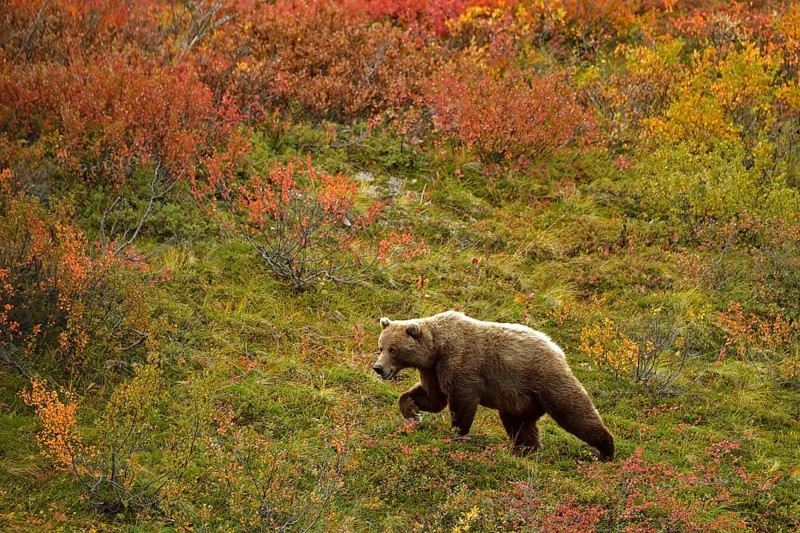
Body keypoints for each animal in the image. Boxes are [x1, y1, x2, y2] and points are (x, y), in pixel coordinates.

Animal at [373, 311, 615, 460]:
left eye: (393, 349)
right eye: (381, 347)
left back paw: (606, 450)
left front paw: (457, 434)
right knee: (520, 425)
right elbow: (431, 398)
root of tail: (557, 348)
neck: (436, 349)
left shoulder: (461, 364)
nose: (378, 368)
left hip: (545, 380)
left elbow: (461, 401)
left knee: (574, 412)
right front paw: (413, 413)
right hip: (519, 399)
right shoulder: (433, 370)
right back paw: (526, 450)